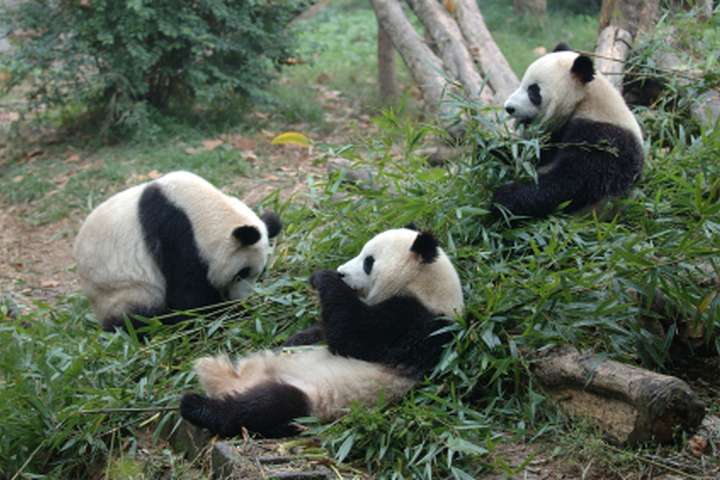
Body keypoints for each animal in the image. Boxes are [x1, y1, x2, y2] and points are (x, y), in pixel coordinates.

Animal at [73, 171, 282, 331]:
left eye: (261, 273)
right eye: (241, 273)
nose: (242, 299)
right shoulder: (176, 237)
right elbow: (189, 296)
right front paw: (223, 315)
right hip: (120, 290)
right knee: (138, 317)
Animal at [179, 227, 464, 438]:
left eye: (368, 261)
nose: (341, 272)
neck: (426, 288)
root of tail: (235, 381)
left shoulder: (417, 323)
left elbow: (356, 338)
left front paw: (324, 278)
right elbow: (324, 332)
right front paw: (296, 338)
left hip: (312, 398)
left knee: (264, 407)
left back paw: (196, 406)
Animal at [494, 43, 644, 219]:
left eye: (533, 91)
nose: (509, 107)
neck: (584, 101)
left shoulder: (604, 138)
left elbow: (572, 181)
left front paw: (503, 198)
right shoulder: (555, 134)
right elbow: (530, 153)